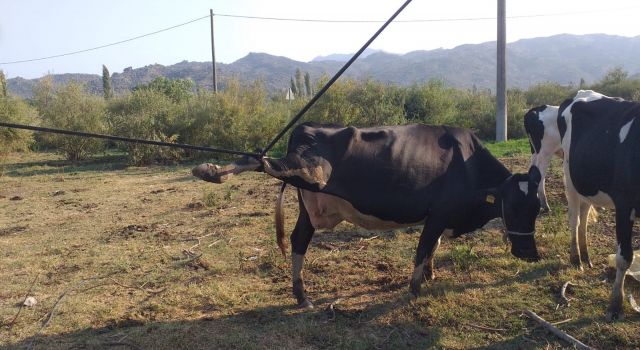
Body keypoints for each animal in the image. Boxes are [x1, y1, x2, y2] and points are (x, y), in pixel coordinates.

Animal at [194, 122, 540, 306]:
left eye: (538, 208)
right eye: (515, 206)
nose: (531, 255)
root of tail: (305, 128)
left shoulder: (439, 217)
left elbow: (434, 247)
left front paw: (430, 275)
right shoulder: (439, 213)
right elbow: (424, 248)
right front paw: (415, 289)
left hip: (309, 204)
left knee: (298, 239)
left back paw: (301, 295)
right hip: (310, 170)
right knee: (265, 163)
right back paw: (210, 170)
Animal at [556, 89, 636, 320]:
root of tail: (582, 93)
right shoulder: (624, 202)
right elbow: (624, 257)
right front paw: (615, 305)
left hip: (586, 184)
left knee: (583, 218)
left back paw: (586, 255)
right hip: (570, 177)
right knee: (574, 219)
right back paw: (576, 258)